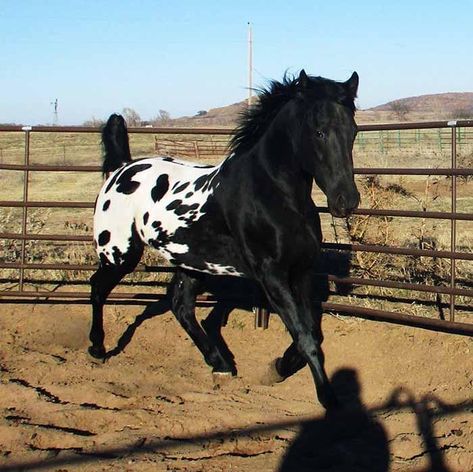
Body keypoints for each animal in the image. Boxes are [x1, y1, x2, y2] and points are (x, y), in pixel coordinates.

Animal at [90, 71, 360, 410]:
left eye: (353, 131)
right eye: (319, 131)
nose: (346, 201)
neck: (272, 194)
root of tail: (120, 169)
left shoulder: (301, 271)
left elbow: (309, 333)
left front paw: (277, 368)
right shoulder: (271, 275)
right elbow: (306, 337)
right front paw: (328, 397)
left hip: (189, 262)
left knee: (180, 306)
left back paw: (220, 364)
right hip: (120, 254)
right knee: (98, 288)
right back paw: (97, 350)